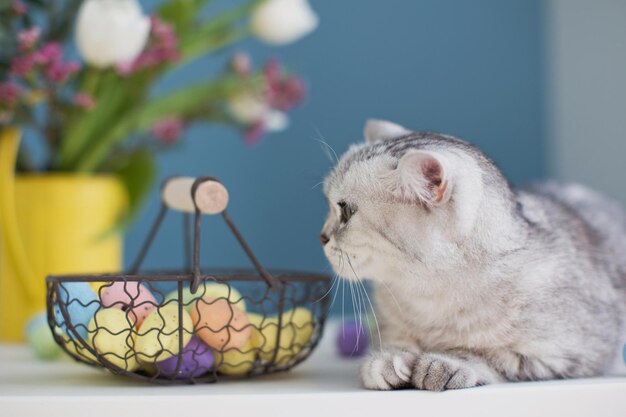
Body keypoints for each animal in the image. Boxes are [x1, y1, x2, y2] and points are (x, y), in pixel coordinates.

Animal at [322, 118, 624, 388]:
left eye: (345, 211)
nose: (321, 236)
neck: (429, 297)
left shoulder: (567, 354)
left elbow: (491, 356)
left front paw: (449, 361)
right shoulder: (387, 323)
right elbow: (393, 342)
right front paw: (388, 359)